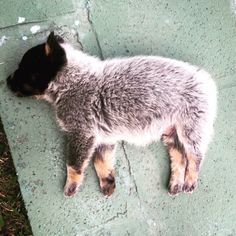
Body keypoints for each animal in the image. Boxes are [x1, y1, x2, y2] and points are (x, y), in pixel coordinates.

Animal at [6, 31, 217, 197]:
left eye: (23, 69)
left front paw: (71, 184)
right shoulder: (102, 136)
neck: (71, 80)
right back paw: (176, 182)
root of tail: (206, 80)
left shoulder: (81, 133)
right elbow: (101, 160)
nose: (6, 80)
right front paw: (107, 181)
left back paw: (190, 179)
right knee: (179, 156)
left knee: (195, 155)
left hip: (192, 127)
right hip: (171, 132)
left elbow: (73, 163)